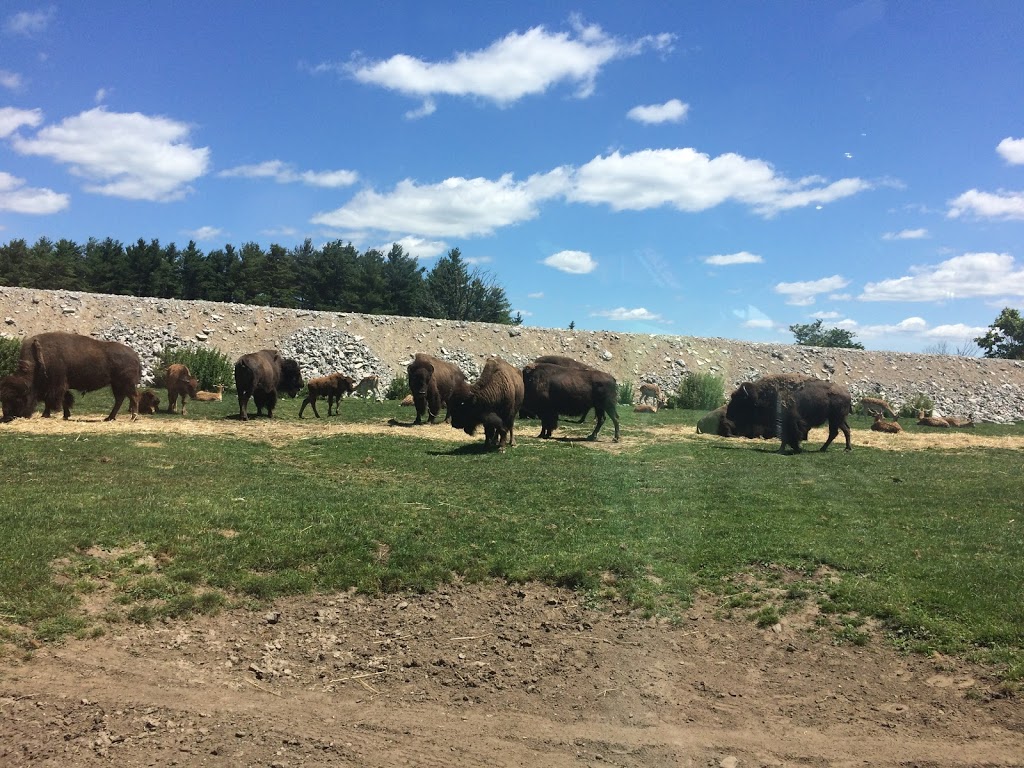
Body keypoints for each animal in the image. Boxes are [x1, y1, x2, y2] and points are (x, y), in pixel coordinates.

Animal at [0, 331, 142, 423]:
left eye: (18, 398)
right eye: (3, 399)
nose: (7, 417)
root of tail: (135, 355)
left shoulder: (56, 385)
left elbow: (54, 400)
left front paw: (48, 414)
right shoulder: (57, 386)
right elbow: (63, 399)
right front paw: (64, 415)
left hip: (126, 384)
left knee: (133, 397)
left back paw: (133, 418)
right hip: (116, 385)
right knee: (120, 399)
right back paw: (109, 418)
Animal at [720, 374, 856, 454]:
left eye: (740, 400)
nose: (728, 414)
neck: (761, 395)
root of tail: (847, 393)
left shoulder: (789, 422)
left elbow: (789, 435)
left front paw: (789, 449)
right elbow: (786, 437)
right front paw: (788, 449)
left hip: (835, 419)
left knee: (835, 432)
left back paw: (825, 449)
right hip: (838, 419)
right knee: (845, 430)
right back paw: (845, 448)